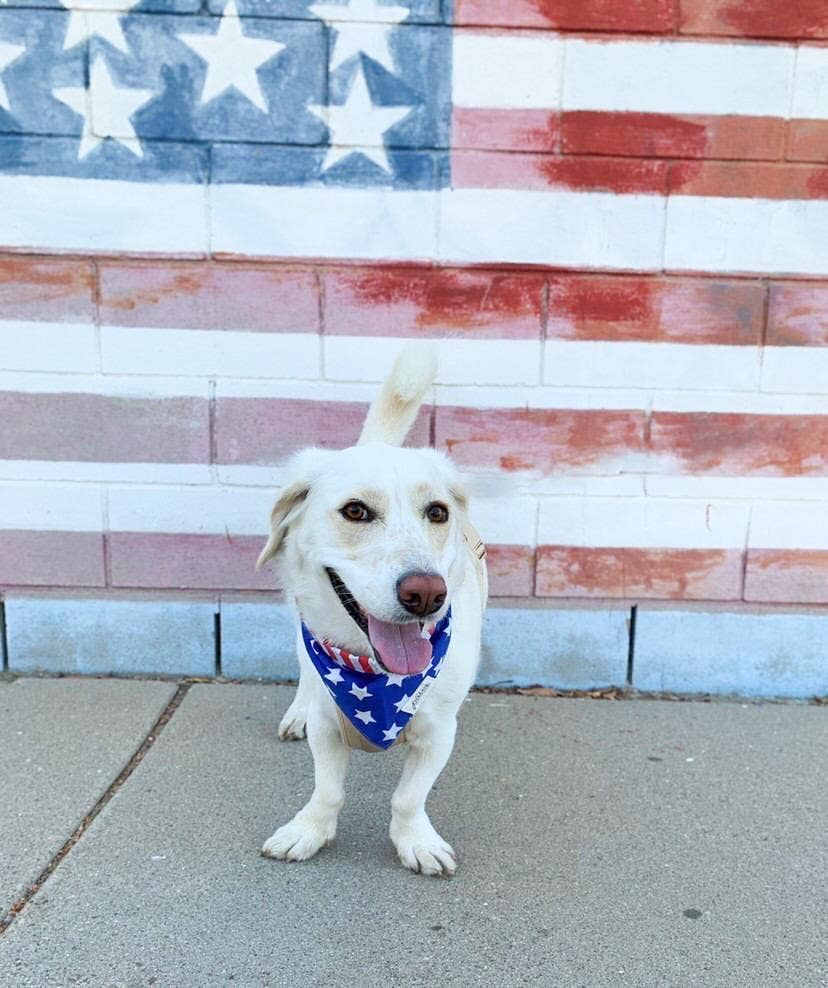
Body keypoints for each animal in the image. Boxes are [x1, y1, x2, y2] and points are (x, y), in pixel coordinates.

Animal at [258, 350, 486, 880]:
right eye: (356, 511)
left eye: (438, 513)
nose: (427, 593)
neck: (376, 676)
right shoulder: (328, 727)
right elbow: (328, 789)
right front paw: (309, 830)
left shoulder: (439, 734)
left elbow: (408, 798)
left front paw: (415, 841)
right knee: (305, 672)